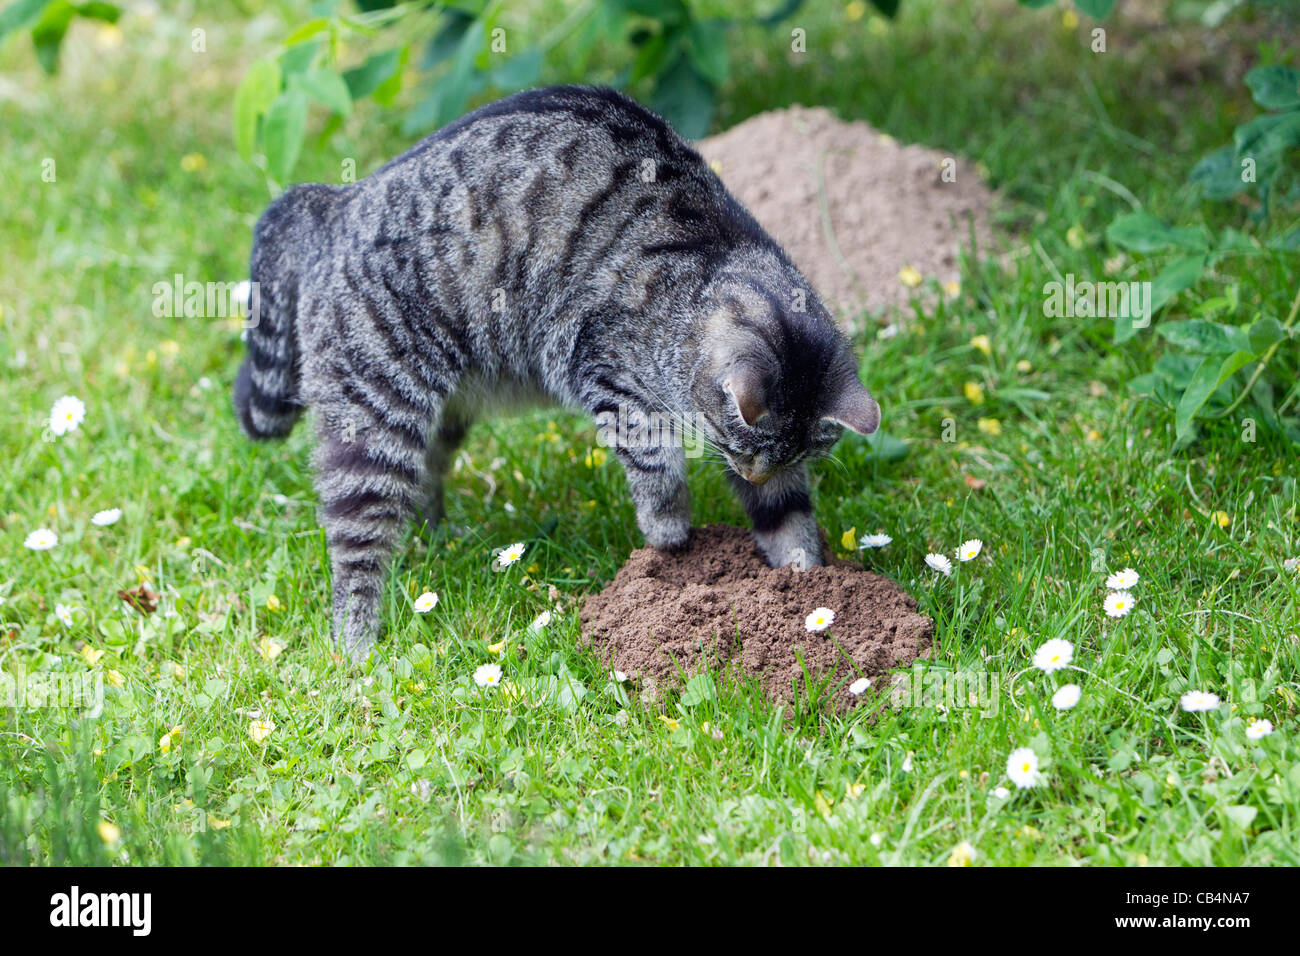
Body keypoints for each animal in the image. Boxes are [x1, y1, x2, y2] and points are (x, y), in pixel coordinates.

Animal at [235, 85, 883, 660]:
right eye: (746, 450)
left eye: (796, 457)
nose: (750, 473)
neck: (710, 264)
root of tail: (336, 201)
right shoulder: (614, 383)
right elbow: (659, 476)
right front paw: (671, 540)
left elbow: (787, 517)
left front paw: (807, 584)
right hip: (375, 420)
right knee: (356, 550)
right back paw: (357, 646)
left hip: (441, 410)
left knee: (426, 475)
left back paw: (436, 535)